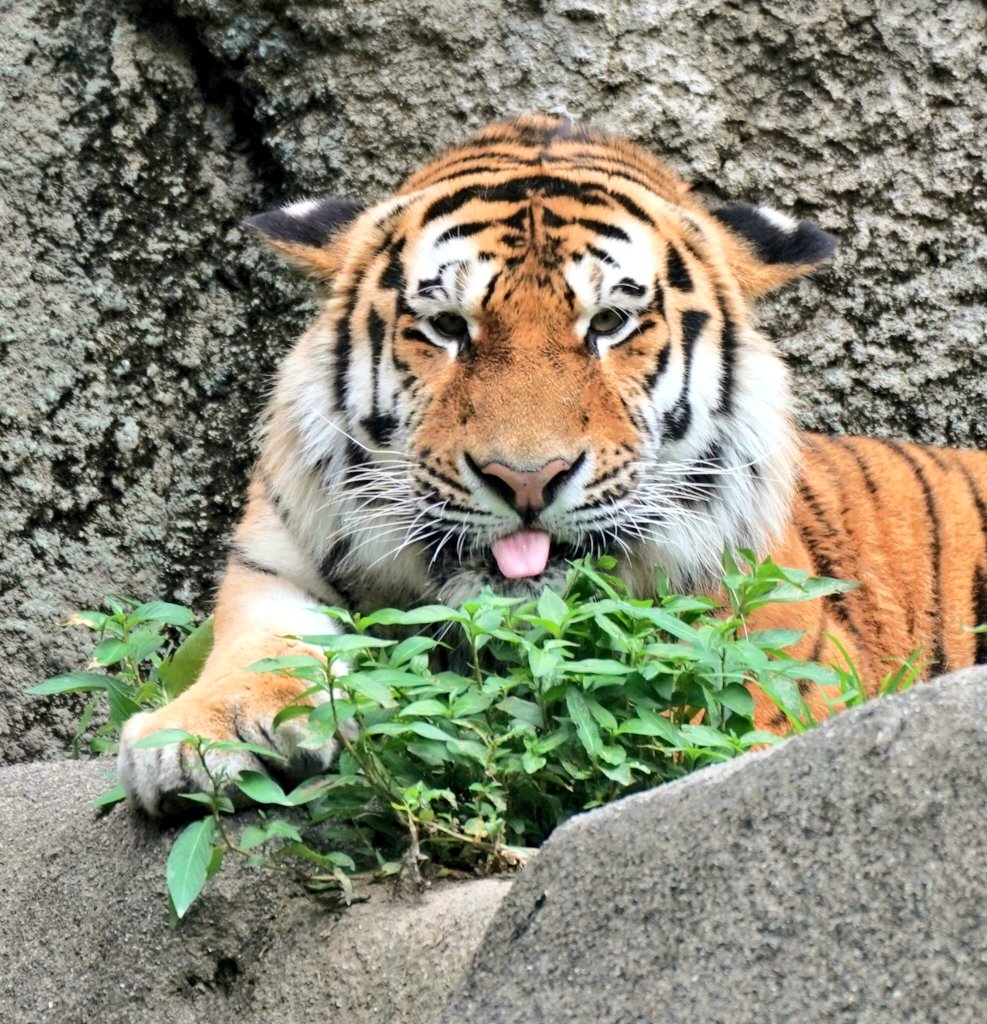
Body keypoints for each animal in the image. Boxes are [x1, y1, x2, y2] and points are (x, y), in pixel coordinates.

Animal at [119, 112, 987, 815]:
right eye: (446, 326)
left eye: (608, 323)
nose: (526, 480)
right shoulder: (275, 567)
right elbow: (264, 650)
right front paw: (196, 738)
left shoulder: (762, 679)